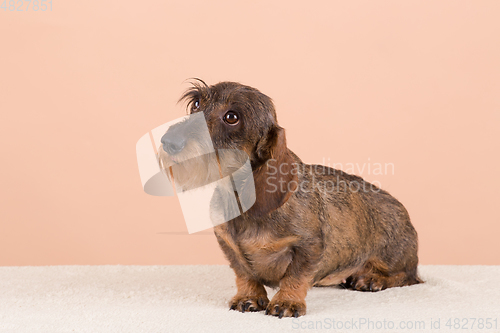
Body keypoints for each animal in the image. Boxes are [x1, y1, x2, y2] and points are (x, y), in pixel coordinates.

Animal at [157, 79, 422, 318]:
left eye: (232, 117)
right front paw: (249, 297)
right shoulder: (227, 244)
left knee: (408, 276)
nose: (169, 142)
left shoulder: (309, 245)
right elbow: (244, 272)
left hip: (394, 255)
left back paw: (371, 278)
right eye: (196, 104)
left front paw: (287, 302)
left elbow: (295, 276)